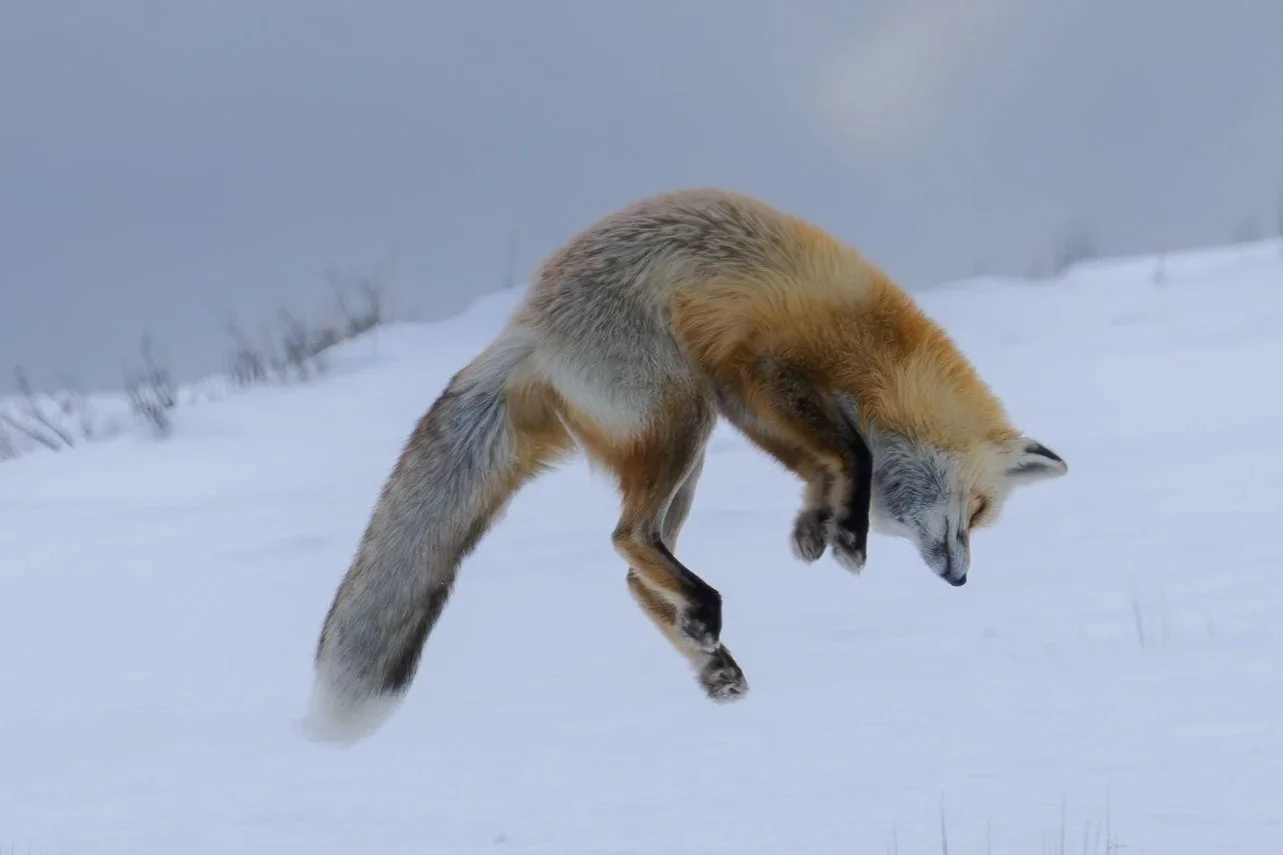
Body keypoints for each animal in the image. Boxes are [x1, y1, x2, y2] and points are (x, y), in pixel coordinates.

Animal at [302, 187, 1068, 745]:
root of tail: (527, 324)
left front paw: (816, 525)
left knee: (634, 568)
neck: (880, 358)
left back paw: (712, 659)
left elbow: (824, 464)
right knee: (629, 538)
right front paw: (846, 530)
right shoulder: (760, 368)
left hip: (690, 450)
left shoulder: (751, 401)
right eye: (977, 511)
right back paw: (704, 610)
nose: (961, 578)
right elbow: (851, 449)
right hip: (680, 416)